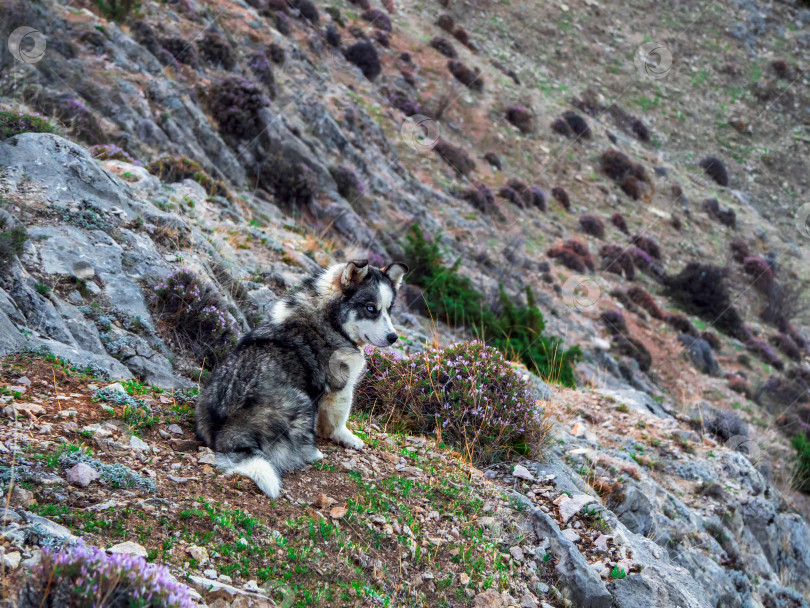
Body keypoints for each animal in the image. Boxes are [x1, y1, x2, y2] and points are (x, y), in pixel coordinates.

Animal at [193, 258, 408, 496]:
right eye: (370, 308)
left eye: (389, 309)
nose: (394, 337)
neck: (330, 319)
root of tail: (227, 433)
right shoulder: (340, 386)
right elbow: (337, 419)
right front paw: (347, 437)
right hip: (300, 402)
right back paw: (313, 453)